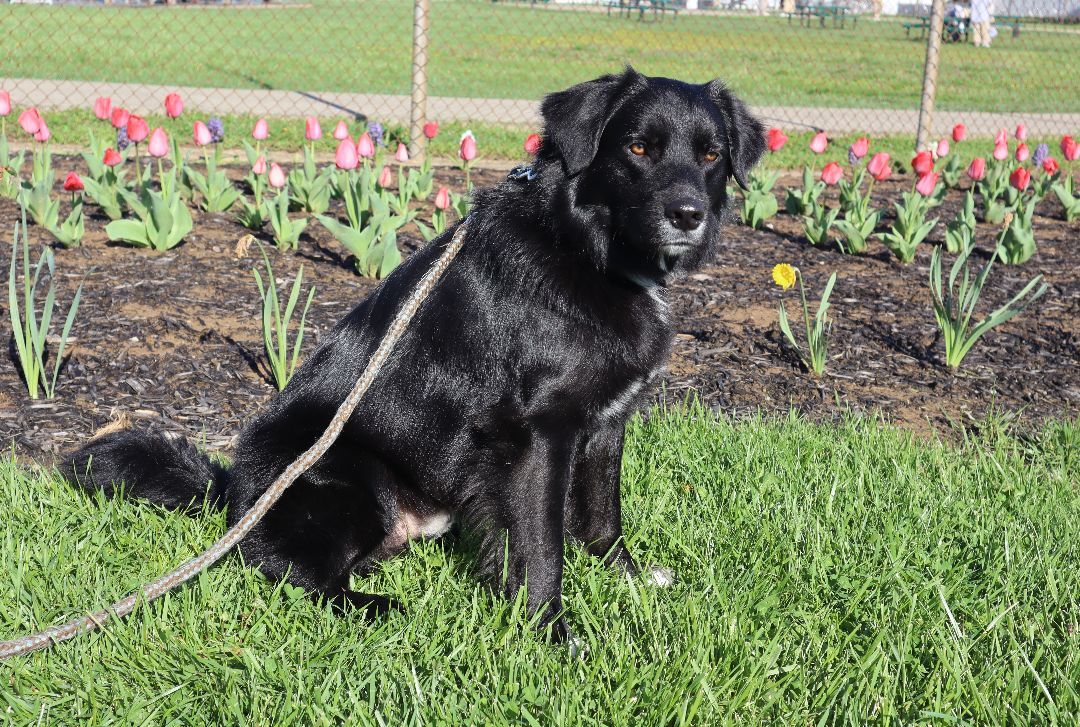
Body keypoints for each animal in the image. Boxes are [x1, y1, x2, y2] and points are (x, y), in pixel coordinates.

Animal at [67, 66, 764, 635]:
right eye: (638, 147)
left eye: (711, 155)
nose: (688, 214)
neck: (583, 251)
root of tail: (232, 492)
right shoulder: (541, 433)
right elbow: (542, 544)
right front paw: (550, 634)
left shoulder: (607, 420)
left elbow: (600, 515)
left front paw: (629, 579)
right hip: (347, 476)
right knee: (290, 571)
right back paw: (378, 608)